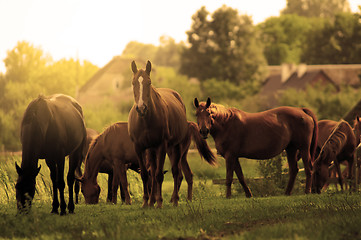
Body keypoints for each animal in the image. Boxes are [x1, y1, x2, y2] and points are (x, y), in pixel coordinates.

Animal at [128, 61, 215, 207]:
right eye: (133, 82)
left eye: (149, 82)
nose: (141, 108)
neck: (145, 121)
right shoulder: (139, 147)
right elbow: (145, 174)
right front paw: (146, 203)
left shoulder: (162, 146)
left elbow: (159, 175)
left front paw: (159, 203)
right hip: (154, 150)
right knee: (154, 171)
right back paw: (152, 201)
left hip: (176, 148)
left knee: (176, 172)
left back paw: (174, 200)